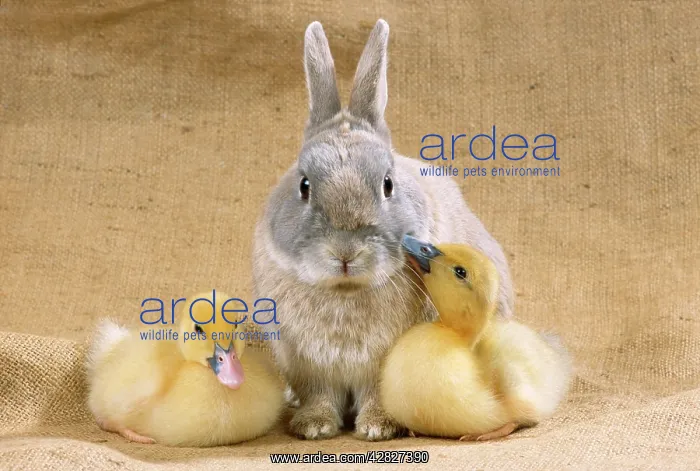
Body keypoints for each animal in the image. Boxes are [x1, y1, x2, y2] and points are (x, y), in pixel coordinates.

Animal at [252, 19, 514, 441]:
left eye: (387, 184)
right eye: (304, 185)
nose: (345, 253)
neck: (345, 290)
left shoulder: (383, 366)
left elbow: (378, 394)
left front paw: (377, 428)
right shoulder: (307, 364)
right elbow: (319, 395)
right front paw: (315, 427)